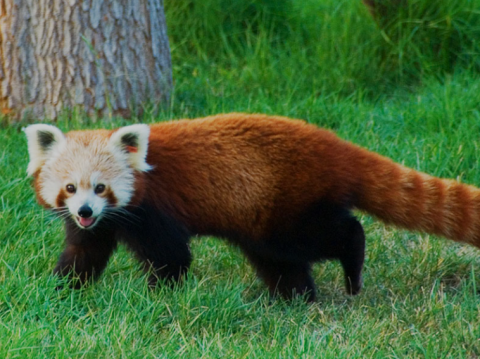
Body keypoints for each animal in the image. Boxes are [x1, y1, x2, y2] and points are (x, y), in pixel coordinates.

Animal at [24, 114, 480, 302]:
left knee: (336, 235)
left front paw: (159, 298)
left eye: (101, 187)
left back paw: (351, 270)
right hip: (265, 221)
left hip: (289, 207)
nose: (85, 210)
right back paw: (295, 299)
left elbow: (172, 257)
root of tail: (334, 148)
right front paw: (61, 291)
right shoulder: (99, 227)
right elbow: (84, 253)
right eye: (70, 188)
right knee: (281, 263)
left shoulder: (155, 210)